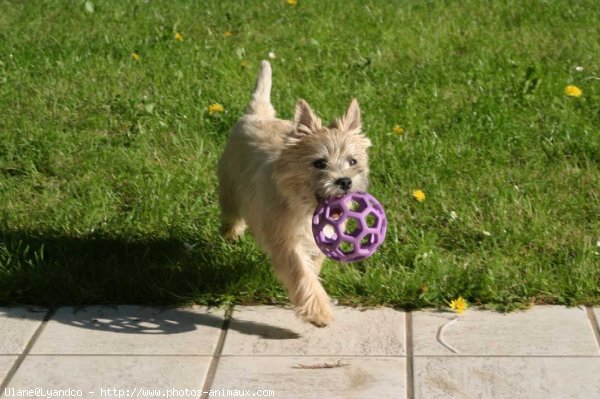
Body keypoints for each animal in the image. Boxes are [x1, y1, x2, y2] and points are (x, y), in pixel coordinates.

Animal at [218, 61, 372, 326]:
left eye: (353, 161)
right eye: (320, 163)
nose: (345, 181)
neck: (304, 207)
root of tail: (257, 114)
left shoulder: (322, 238)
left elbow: (314, 263)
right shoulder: (285, 240)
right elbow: (301, 272)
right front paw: (319, 311)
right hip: (228, 184)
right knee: (231, 212)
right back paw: (231, 233)